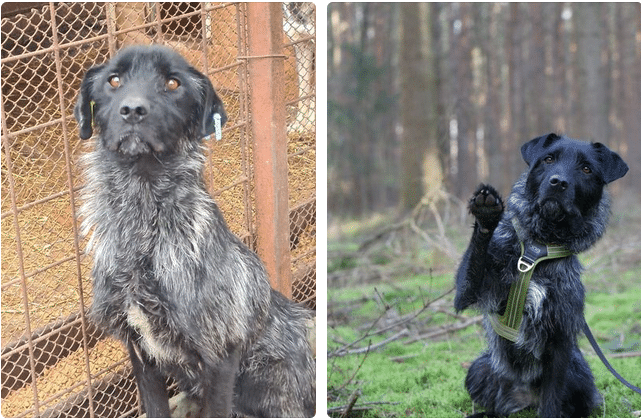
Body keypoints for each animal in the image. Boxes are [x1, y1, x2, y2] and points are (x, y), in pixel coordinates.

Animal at [452, 134, 628, 418]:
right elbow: (475, 258)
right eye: (548, 159)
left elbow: (552, 397)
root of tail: (526, 399)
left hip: (578, 372)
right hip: (479, 368)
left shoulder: (560, 340)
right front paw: (487, 216)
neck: (538, 248)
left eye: (586, 169)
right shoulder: (467, 293)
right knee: (498, 407)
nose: (558, 182)